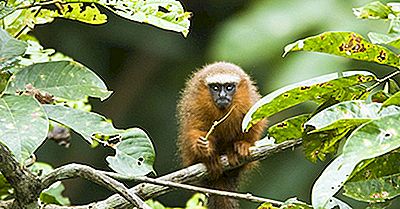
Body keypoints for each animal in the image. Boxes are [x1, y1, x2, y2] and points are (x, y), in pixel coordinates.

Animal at [176, 61, 264, 208]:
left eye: (229, 87)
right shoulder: (195, 103)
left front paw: (244, 144)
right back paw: (209, 158)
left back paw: (232, 151)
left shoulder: (249, 102)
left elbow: (254, 124)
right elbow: (193, 128)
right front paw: (202, 147)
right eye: (216, 88)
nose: (222, 95)